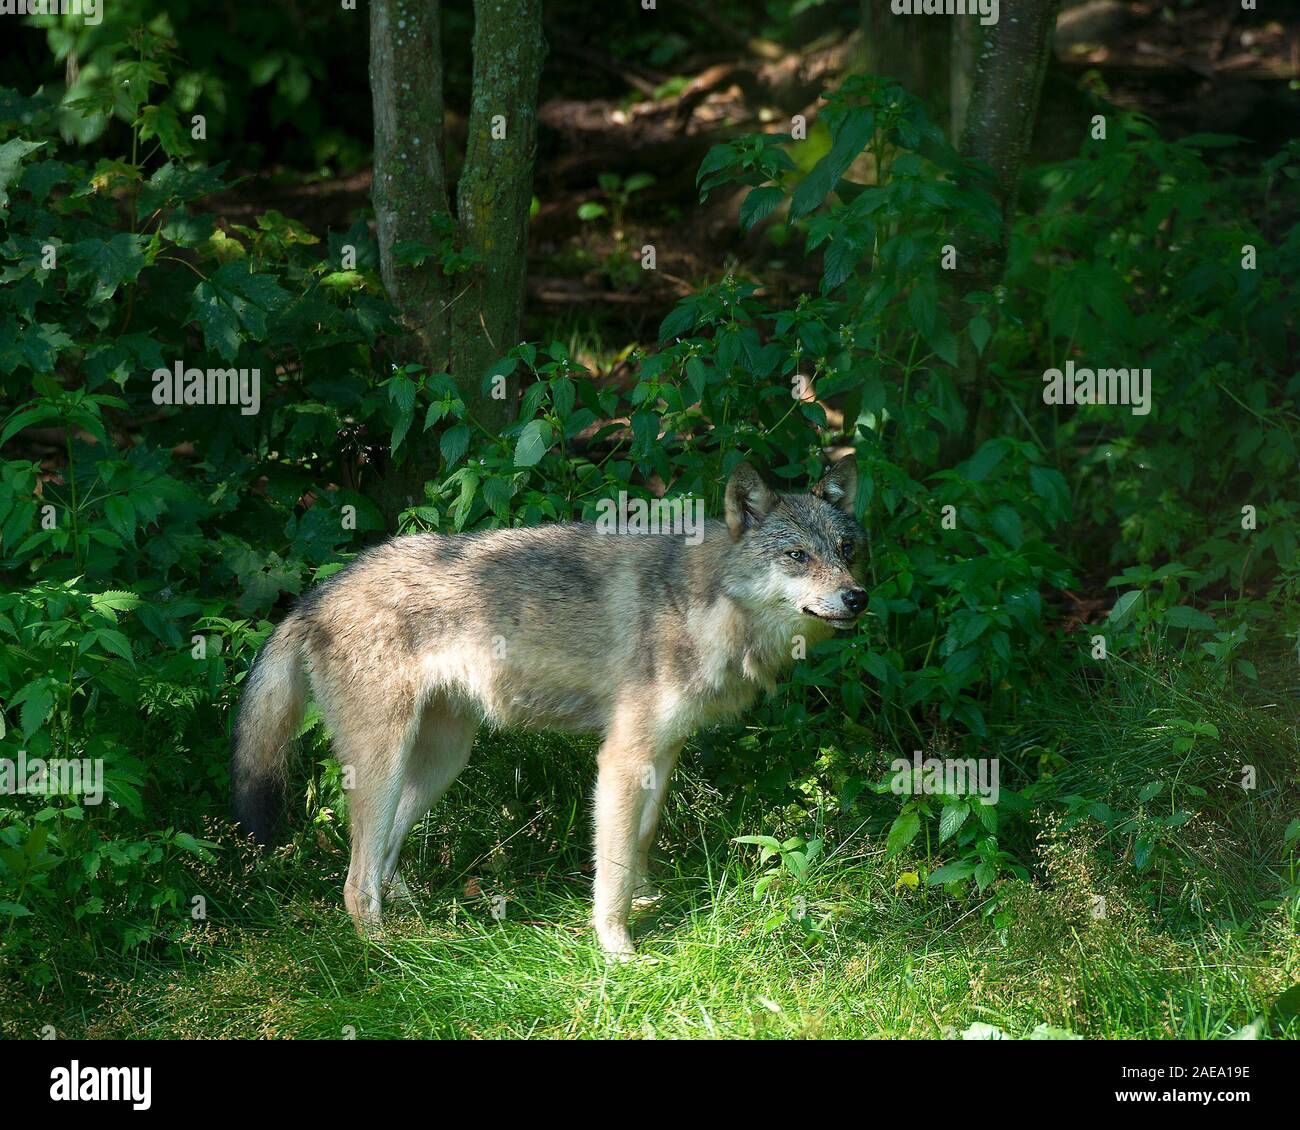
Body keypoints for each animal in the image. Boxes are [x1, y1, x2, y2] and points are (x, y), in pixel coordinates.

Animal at [230, 456, 866, 955]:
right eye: (797, 555)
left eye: (847, 550)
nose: (857, 597)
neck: (707, 606)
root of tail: (313, 597)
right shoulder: (620, 760)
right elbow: (611, 871)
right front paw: (618, 951)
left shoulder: (661, 755)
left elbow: (638, 843)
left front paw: (645, 902)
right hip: (385, 766)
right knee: (354, 880)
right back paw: (385, 954)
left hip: (440, 763)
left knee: (381, 860)